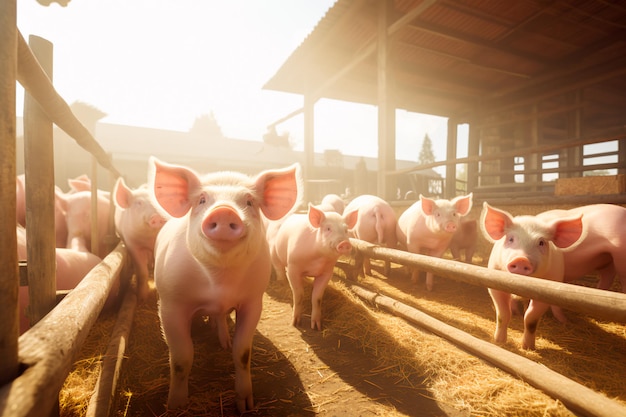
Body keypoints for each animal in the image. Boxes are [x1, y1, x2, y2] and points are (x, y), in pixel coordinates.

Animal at [149, 157, 300, 412]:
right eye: (201, 200)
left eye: (249, 202)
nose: (224, 211)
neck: (220, 281)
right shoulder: (170, 304)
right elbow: (181, 359)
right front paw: (175, 407)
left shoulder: (253, 302)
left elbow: (243, 353)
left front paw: (246, 406)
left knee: (220, 318)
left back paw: (224, 342)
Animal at [480, 202, 584, 348]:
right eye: (511, 239)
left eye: (541, 242)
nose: (521, 259)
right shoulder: (494, 283)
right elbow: (503, 315)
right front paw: (499, 341)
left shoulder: (547, 292)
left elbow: (530, 319)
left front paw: (528, 347)